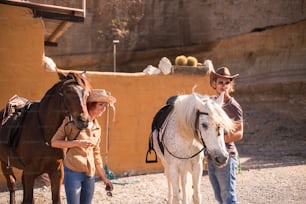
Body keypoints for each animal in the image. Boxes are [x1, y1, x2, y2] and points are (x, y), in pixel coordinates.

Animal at [0, 71, 92, 203]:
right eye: (68, 92)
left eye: (87, 93)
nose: (83, 121)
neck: (45, 132)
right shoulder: (29, 173)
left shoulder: (56, 172)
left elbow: (55, 199)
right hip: (4, 162)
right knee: (11, 185)